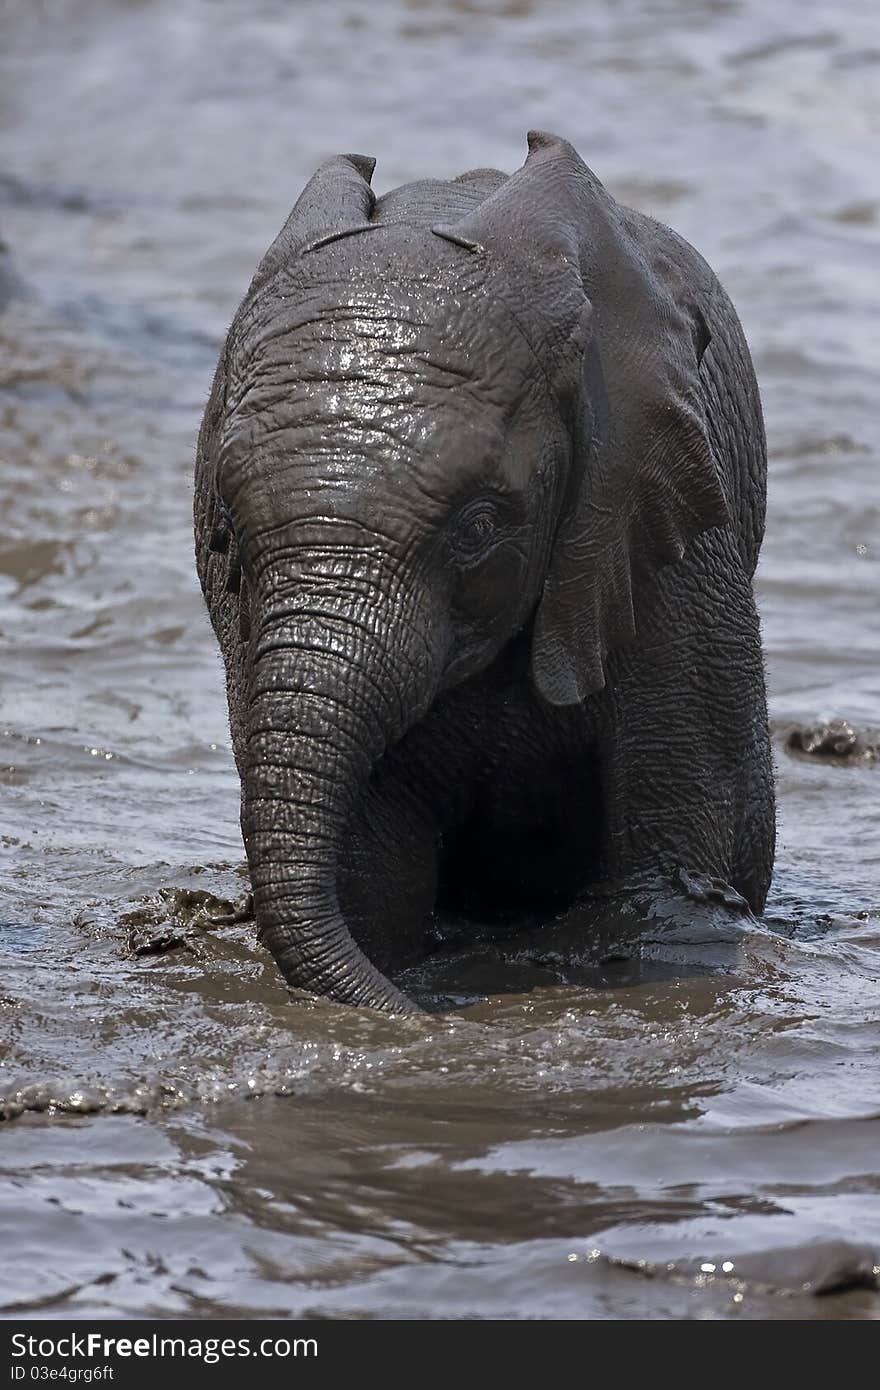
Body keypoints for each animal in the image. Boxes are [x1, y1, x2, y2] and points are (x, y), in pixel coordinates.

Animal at [196, 130, 772, 1011]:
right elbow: (371, 877)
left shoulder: (667, 528)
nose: (422, 1022)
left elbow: (676, 874)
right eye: (226, 533)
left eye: (479, 527)